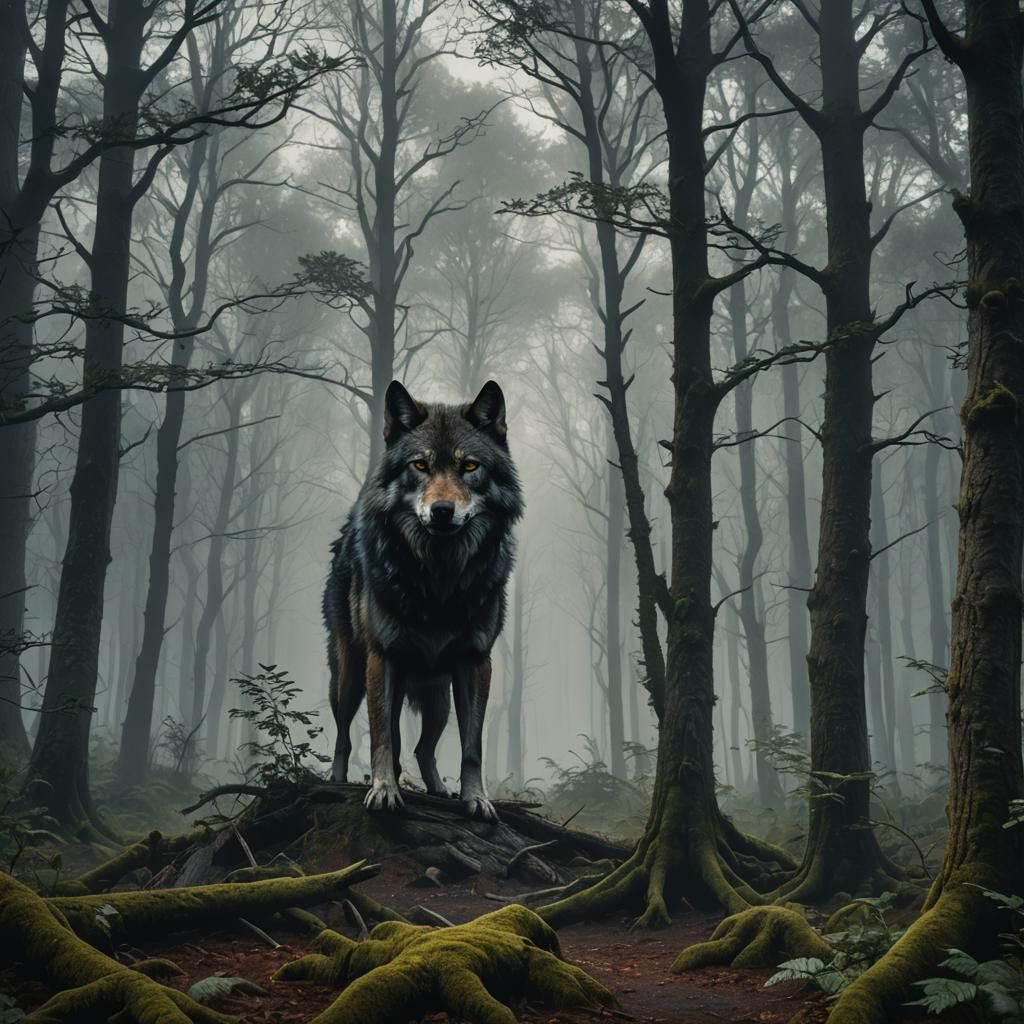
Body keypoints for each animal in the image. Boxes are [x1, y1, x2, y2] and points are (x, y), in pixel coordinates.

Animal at [323, 380, 523, 822]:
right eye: (419, 466)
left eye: (470, 467)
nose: (442, 511)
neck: (439, 582)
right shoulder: (382, 657)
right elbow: (382, 736)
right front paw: (383, 790)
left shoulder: (475, 662)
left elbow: (472, 747)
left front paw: (476, 799)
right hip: (349, 676)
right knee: (346, 734)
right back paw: (337, 781)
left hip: (438, 700)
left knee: (421, 747)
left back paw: (438, 790)